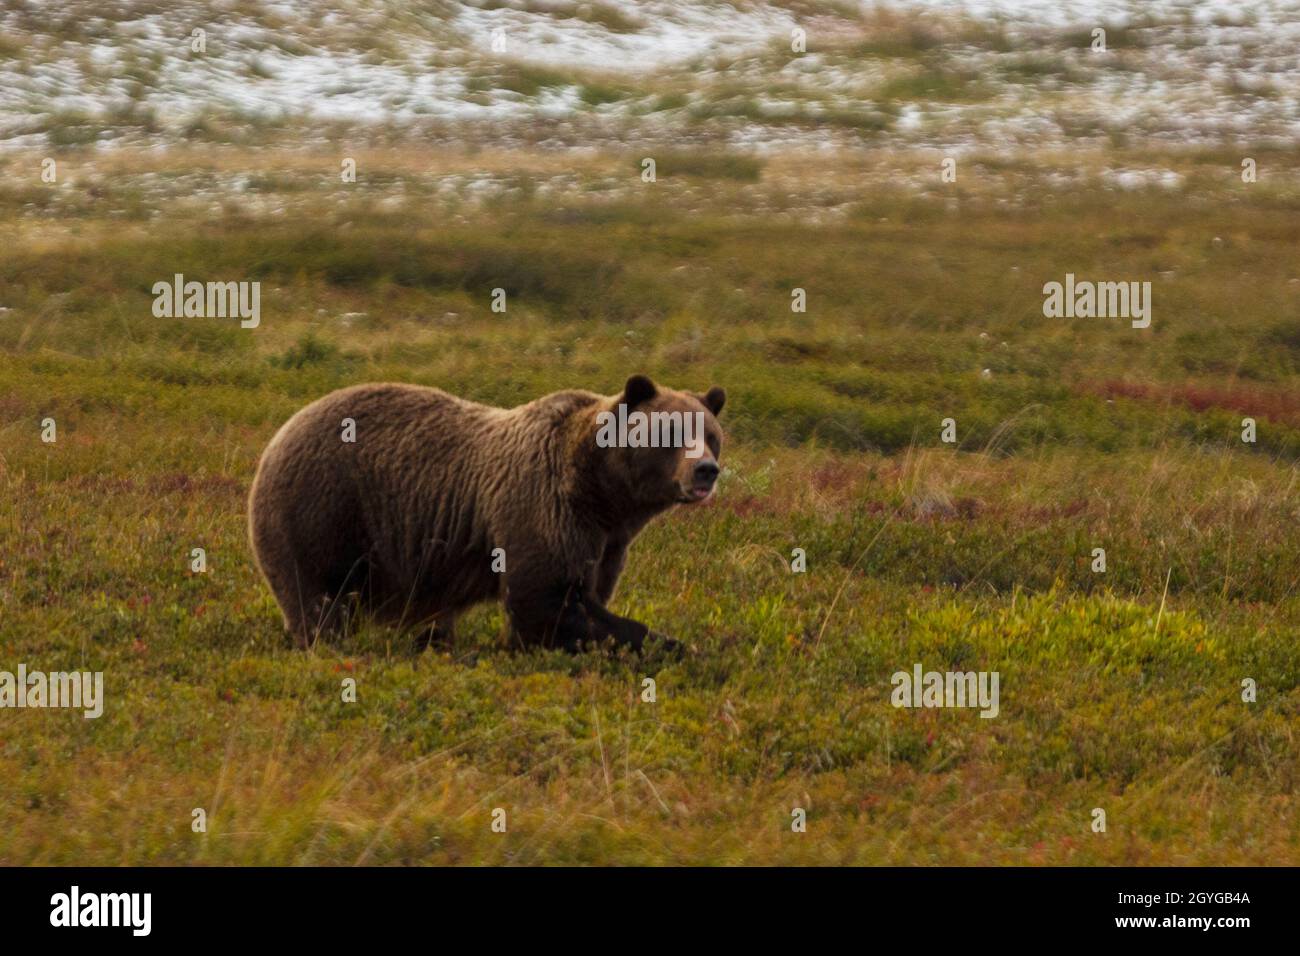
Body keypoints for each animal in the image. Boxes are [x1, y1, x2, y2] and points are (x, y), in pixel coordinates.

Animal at [248, 377, 728, 655]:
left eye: (711, 434)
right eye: (673, 431)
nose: (705, 469)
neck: (602, 492)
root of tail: (279, 434)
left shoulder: (607, 541)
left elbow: (583, 598)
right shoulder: (543, 506)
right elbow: (543, 601)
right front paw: (677, 646)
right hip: (323, 509)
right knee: (317, 595)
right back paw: (324, 639)